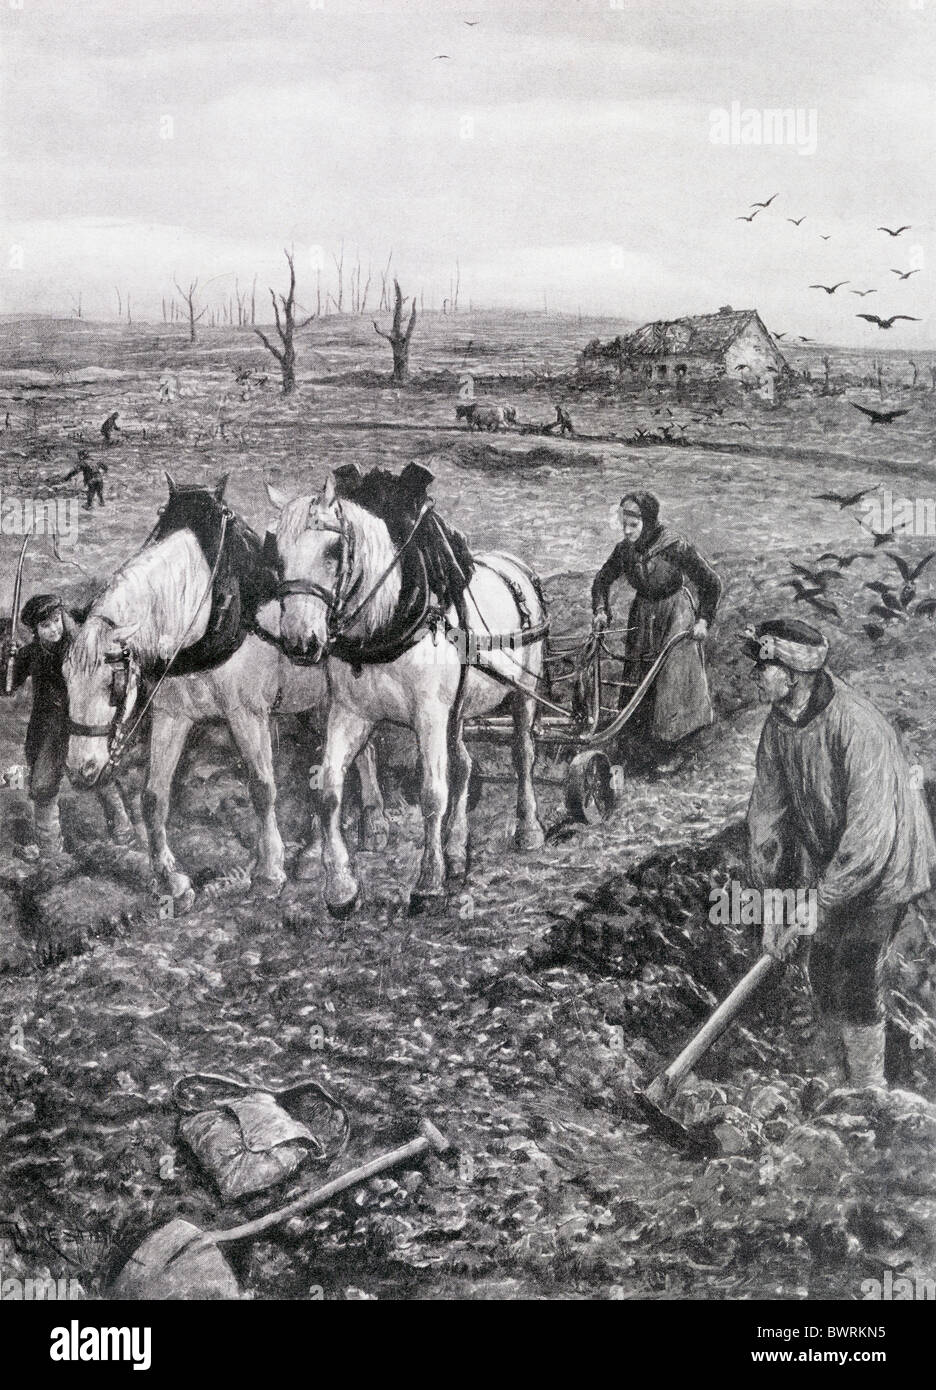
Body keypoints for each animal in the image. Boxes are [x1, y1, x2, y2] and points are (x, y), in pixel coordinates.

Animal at [64, 475, 386, 911]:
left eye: (112, 686)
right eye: (63, 681)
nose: (80, 771)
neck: (204, 616)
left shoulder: (246, 714)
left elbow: (262, 788)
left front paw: (269, 873)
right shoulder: (171, 715)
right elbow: (153, 796)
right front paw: (170, 880)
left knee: (361, 752)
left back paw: (370, 823)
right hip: (313, 704)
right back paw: (318, 849)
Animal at [268, 472, 547, 917]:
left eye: (332, 550)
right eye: (276, 553)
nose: (300, 641)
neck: (386, 623)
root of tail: (515, 566)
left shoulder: (430, 715)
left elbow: (432, 793)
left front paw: (428, 882)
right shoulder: (351, 713)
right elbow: (329, 789)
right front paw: (342, 887)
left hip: (525, 693)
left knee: (523, 754)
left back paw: (528, 830)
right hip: (458, 711)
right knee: (464, 765)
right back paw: (457, 851)